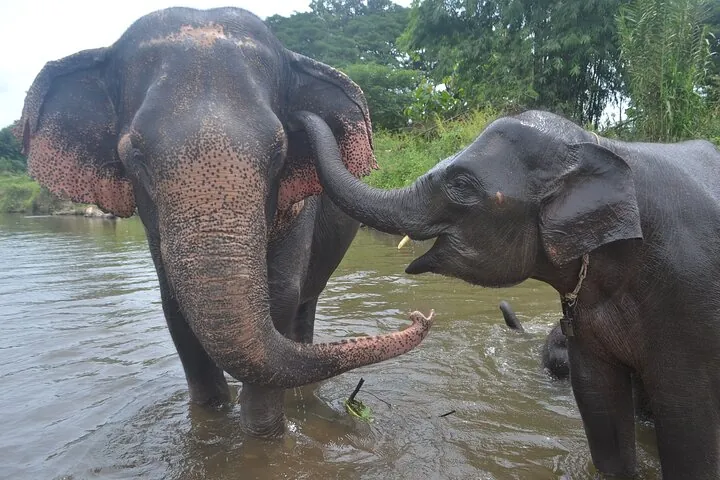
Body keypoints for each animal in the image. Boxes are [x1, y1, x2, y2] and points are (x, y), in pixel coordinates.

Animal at [17, 7, 434, 438]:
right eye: (136, 155)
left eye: (279, 151)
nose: (419, 316)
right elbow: (174, 308)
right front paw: (211, 424)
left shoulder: (300, 208)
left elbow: (281, 294)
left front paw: (264, 436)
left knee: (304, 308)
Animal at [295, 109, 720, 478]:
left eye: (461, 184)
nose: (303, 115)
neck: (602, 147)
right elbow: (597, 396)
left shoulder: (689, 295)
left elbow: (688, 415)